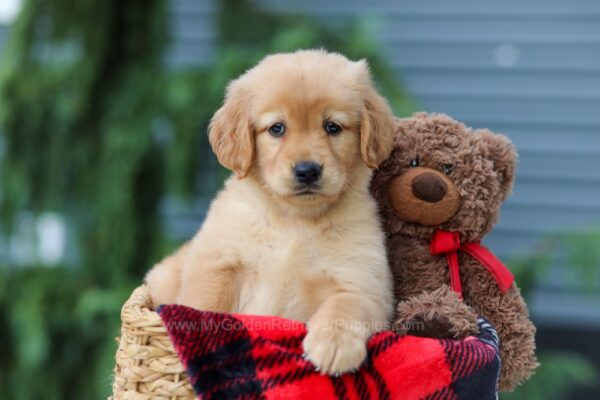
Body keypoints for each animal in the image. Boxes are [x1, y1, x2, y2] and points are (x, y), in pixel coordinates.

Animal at [146, 50, 394, 376]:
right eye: (277, 128)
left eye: (333, 127)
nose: (307, 171)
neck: (294, 222)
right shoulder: (217, 263)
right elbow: (202, 305)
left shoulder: (365, 282)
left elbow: (347, 304)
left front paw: (334, 344)